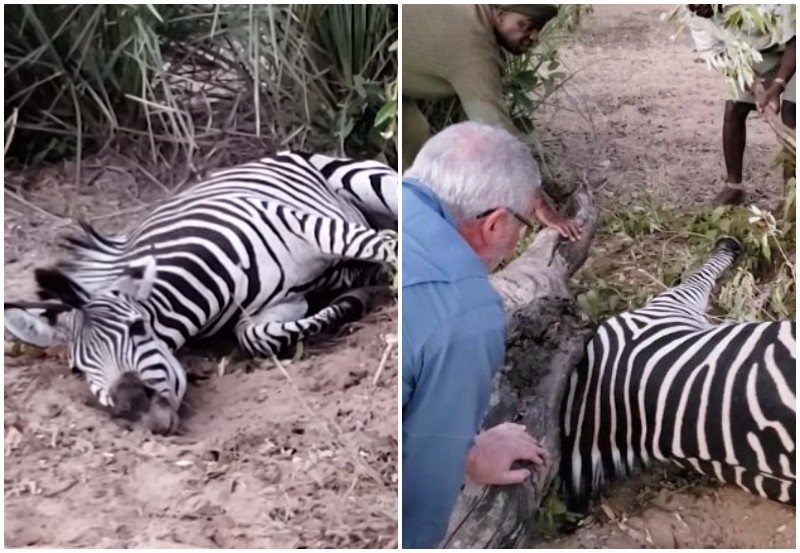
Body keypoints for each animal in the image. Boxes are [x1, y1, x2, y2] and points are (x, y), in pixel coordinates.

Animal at [3, 151, 396, 436]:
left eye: (138, 328)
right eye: (77, 369)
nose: (134, 409)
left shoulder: (304, 224)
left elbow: (384, 246)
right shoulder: (278, 305)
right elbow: (256, 336)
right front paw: (353, 298)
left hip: (363, 181)